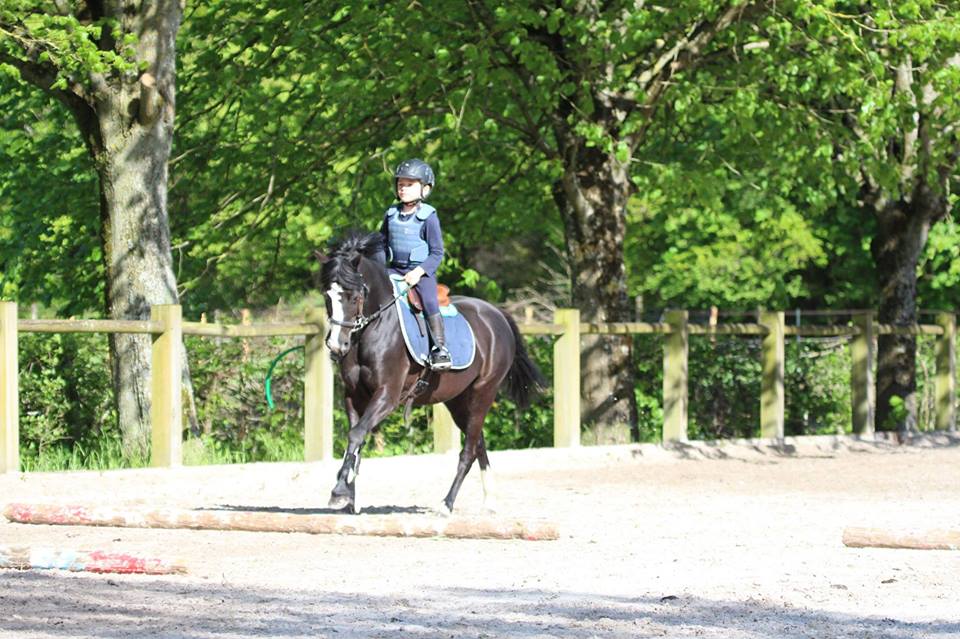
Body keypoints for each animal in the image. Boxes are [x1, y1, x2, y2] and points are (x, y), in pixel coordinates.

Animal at [318, 230, 544, 516]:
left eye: (355, 297)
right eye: (327, 296)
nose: (337, 346)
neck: (374, 328)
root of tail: (496, 314)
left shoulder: (387, 396)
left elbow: (357, 434)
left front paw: (339, 491)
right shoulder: (354, 396)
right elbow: (356, 439)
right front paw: (349, 497)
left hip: (484, 392)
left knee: (468, 451)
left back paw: (447, 504)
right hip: (457, 400)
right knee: (478, 443)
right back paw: (489, 500)